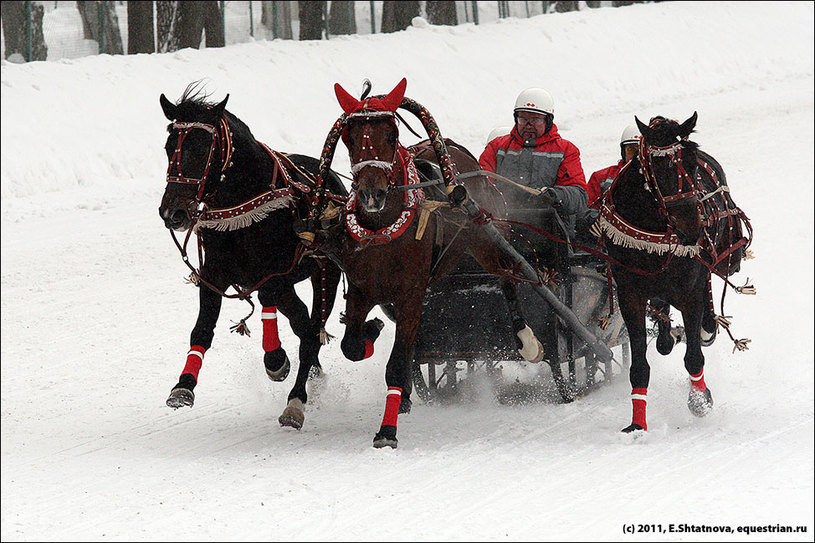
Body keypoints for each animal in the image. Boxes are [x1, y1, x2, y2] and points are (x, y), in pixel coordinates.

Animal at [158, 85, 346, 432]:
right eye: (168, 148)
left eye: (201, 149)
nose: (172, 212)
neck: (242, 204)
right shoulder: (214, 273)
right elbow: (202, 327)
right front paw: (183, 386)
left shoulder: (275, 273)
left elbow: (268, 299)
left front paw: (276, 360)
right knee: (302, 324)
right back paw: (315, 375)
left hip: (325, 271)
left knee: (311, 333)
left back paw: (296, 400)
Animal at [324, 78, 540, 448]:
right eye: (350, 138)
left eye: (392, 134)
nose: (372, 194)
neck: (384, 230)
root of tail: (454, 150)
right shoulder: (361, 288)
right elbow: (352, 345)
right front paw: (371, 331)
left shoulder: (411, 292)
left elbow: (396, 364)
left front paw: (387, 431)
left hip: (485, 236)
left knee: (507, 275)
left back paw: (525, 338)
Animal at [596, 113, 756, 434]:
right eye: (659, 168)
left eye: (691, 163)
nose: (692, 228)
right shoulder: (630, 294)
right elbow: (639, 365)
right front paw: (637, 423)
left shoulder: (689, 291)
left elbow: (694, 356)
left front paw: (700, 400)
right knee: (663, 322)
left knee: (705, 315)